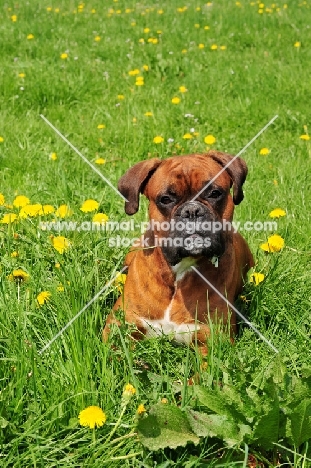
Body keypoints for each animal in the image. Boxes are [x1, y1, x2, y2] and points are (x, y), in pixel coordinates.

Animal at [103, 151, 255, 352]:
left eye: (214, 194)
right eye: (166, 199)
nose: (192, 210)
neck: (178, 273)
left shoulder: (213, 341)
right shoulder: (117, 329)